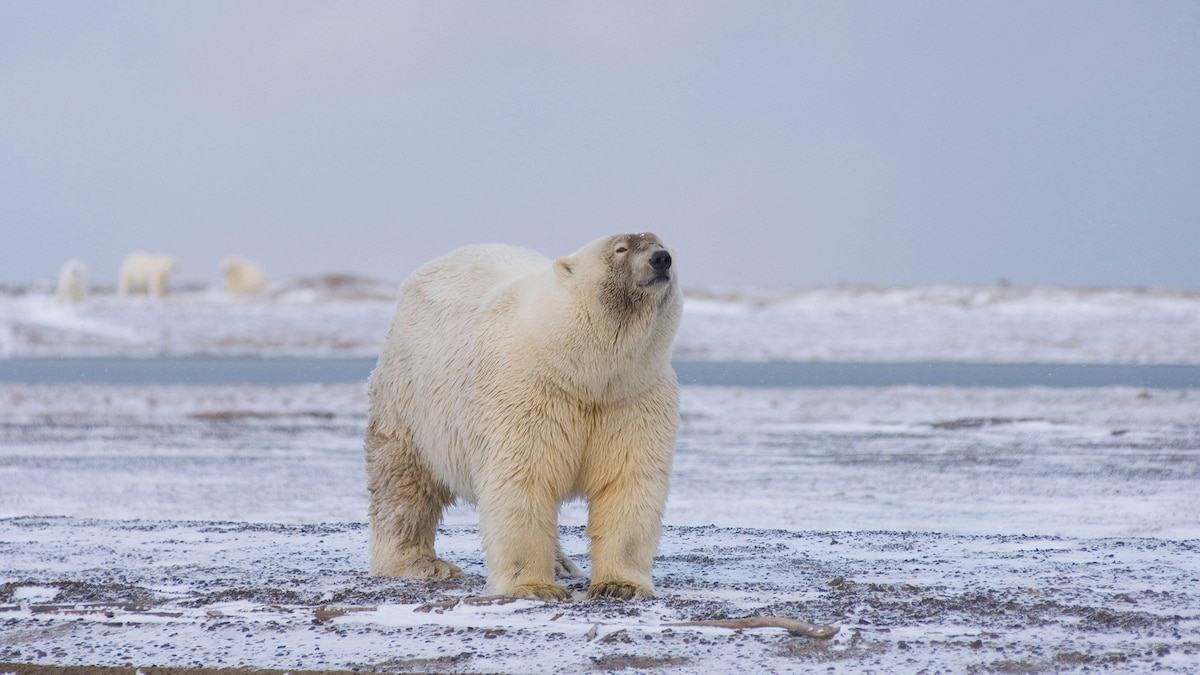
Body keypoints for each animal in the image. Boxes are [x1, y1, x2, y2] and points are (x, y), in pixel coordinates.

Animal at [364, 233, 686, 598]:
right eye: (621, 248)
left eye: (664, 245)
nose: (661, 260)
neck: (580, 370)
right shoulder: (529, 393)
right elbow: (524, 479)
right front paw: (534, 587)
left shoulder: (632, 398)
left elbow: (626, 482)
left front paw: (619, 585)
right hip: (410, 399)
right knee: (404, 481)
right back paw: (420, 563)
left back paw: (562, 564)